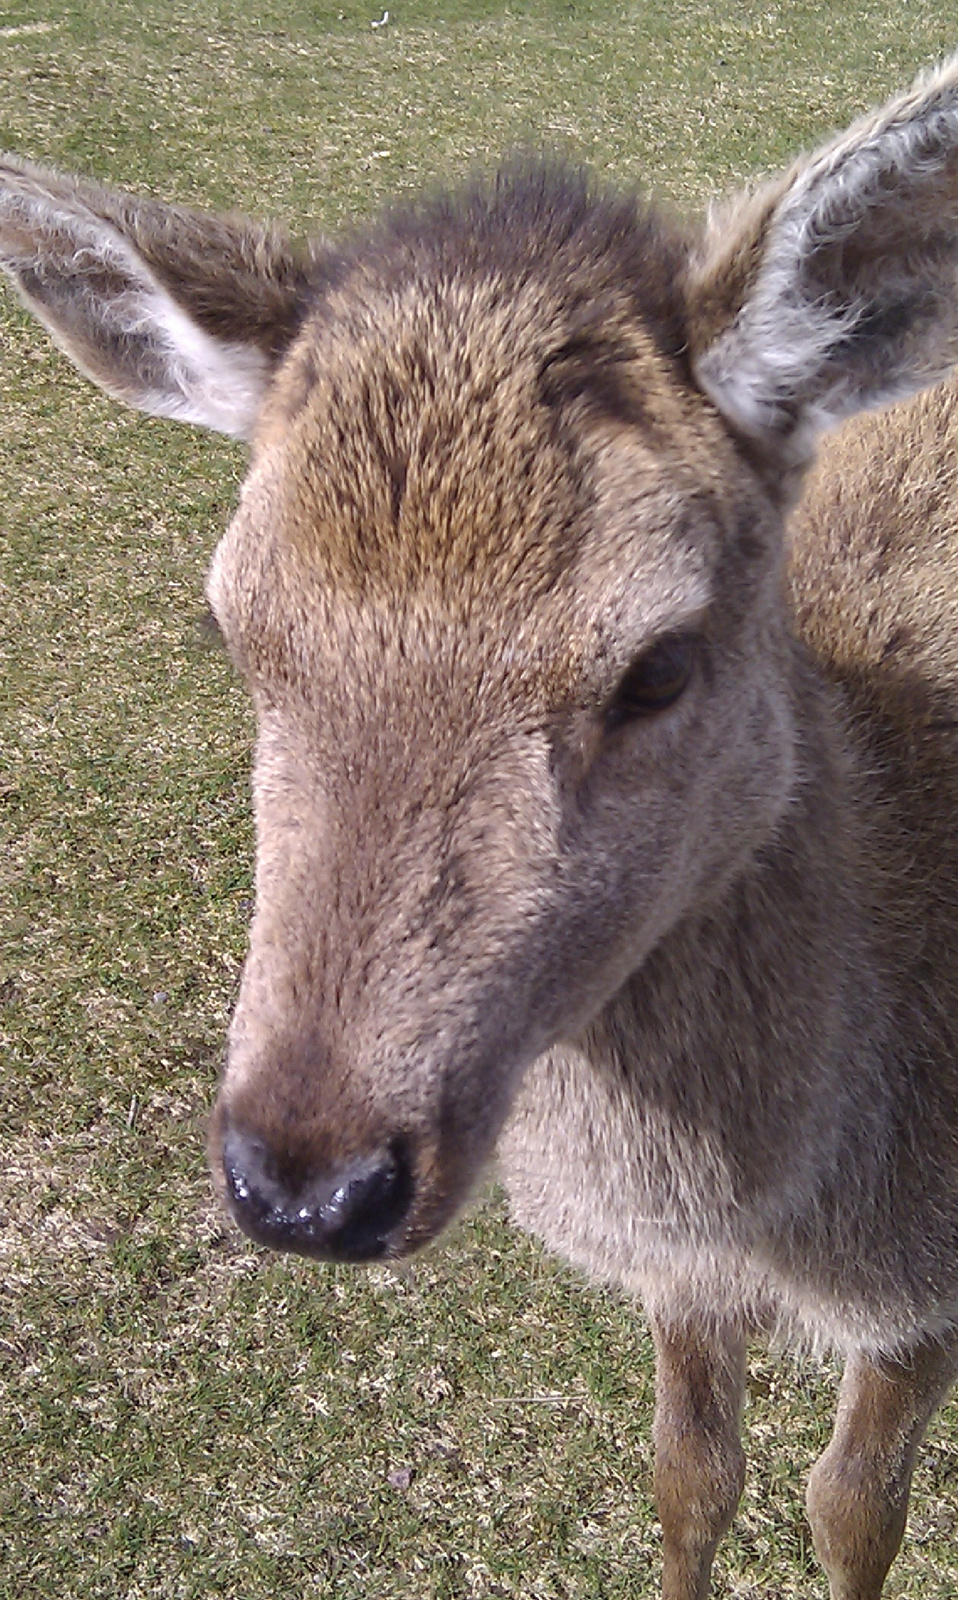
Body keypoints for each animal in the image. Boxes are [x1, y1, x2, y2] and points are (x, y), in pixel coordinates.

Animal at [5, 56, 958, 1593]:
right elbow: (689, 1476)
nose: (308, 1185)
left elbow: (853, 1508)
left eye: (658, 663)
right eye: (230, 631)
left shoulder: (926, 1293)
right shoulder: (679, 1285)